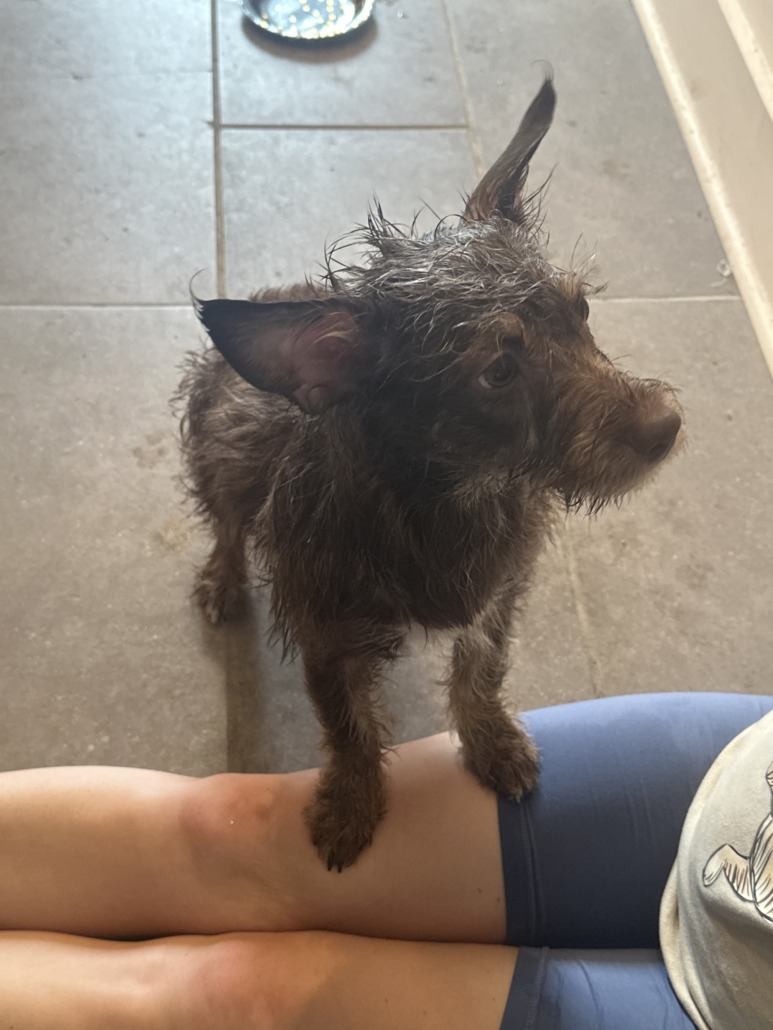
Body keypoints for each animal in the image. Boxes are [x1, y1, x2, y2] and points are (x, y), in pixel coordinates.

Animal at [177, 78, 682, 870]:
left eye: (581, 308)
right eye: (499, 371)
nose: (665, 426)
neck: (454, 498)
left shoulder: (496, 599)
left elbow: (479, 674)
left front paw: (492, 740)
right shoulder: (327, 635)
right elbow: (350, 728)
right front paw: (351, 806)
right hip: (221, 447)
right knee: (227, 522)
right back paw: (222, 579)